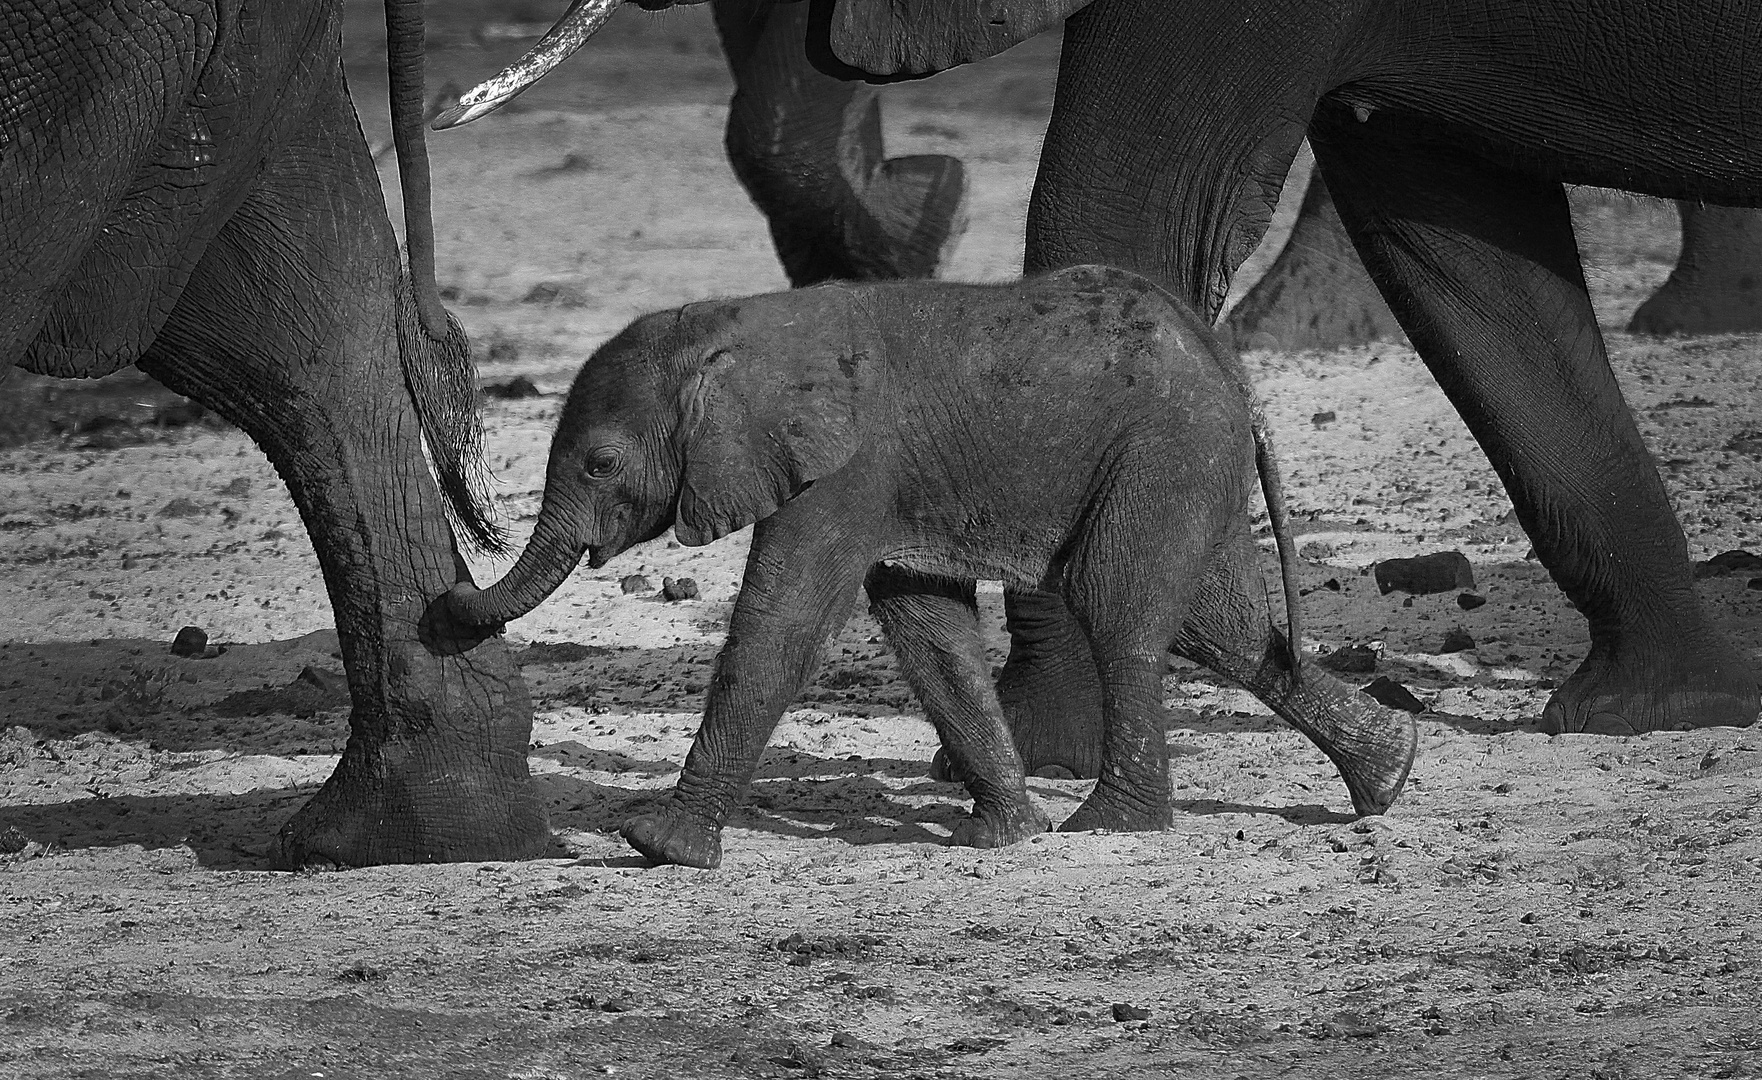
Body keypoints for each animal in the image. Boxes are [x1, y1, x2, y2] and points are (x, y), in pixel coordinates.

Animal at [444, 2, 1762, 750]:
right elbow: (1463, 258)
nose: (448, 602)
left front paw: (1036, 746)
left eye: (606, 462)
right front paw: (1653, 713)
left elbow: (1115, 209)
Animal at [451, 266, 1416, 863]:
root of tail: (1235, 379)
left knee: (1122, 613)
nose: (439, 608)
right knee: (1226, 632)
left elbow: (781, 625)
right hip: (1185, 464)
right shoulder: (886, 483)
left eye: (600, 464)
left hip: (1161, 454)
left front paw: (659, 847)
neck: (736, 326)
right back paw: (1390, 773)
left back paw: (1112, 828)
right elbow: (927, 628)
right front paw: (1004, 836)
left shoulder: (844, 468)